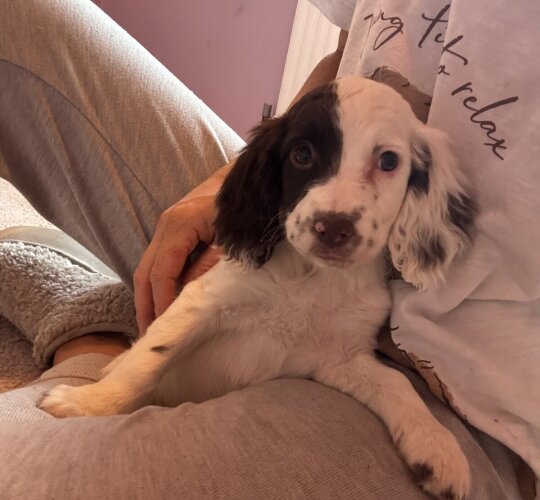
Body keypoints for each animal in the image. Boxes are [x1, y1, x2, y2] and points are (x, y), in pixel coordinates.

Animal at [40, 76, 474, 498]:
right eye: (302, 155)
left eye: (388, 162)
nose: (333, 228)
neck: (314, 279)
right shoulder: (204, 302)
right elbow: (147, 359)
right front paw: (87, 404)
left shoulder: (339, 357)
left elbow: (398, 383)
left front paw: (437, 446)